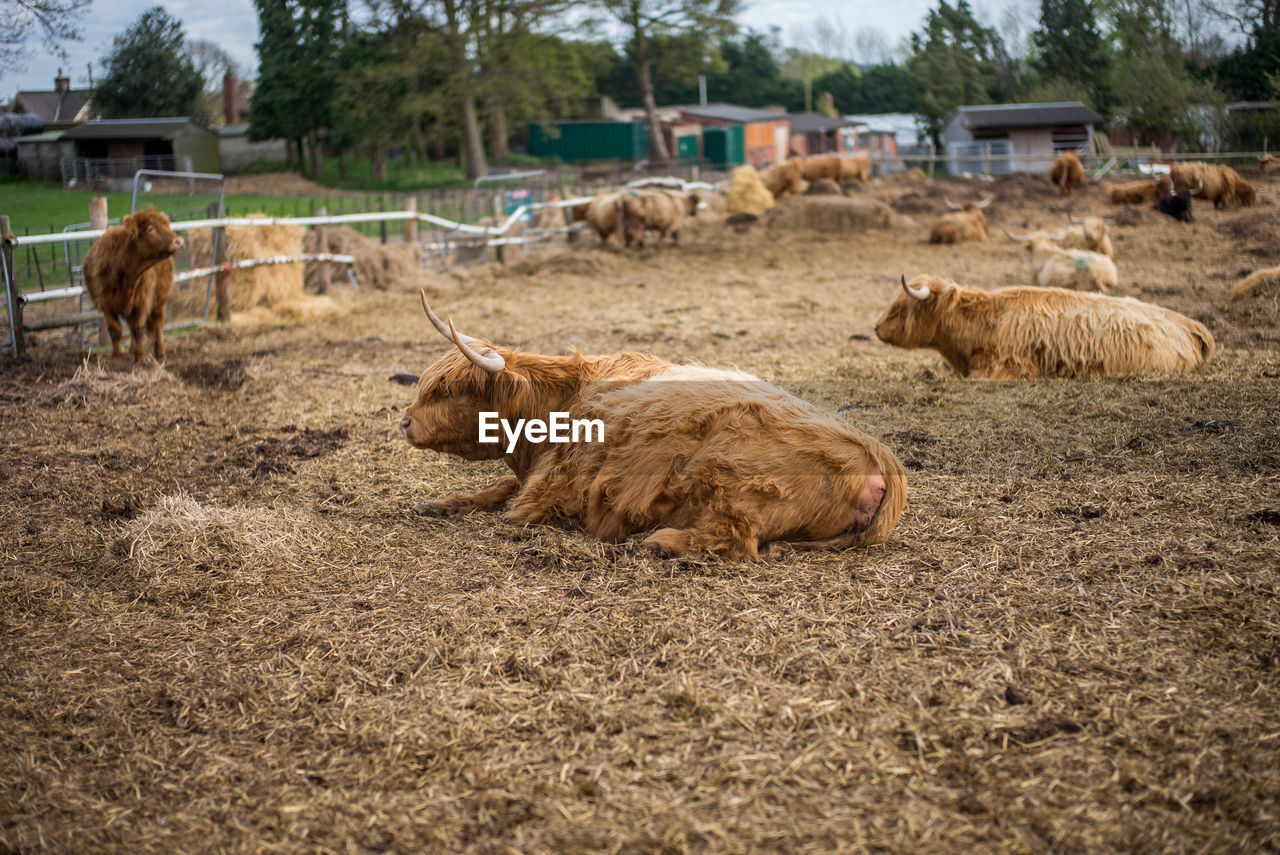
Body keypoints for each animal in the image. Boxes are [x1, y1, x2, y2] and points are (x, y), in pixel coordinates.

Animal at [81, 212, 184, 366]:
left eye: (167, 225)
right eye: (150, 228)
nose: (179, 241)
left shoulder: (142, 301)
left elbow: (138, 329)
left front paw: (141, 358)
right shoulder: (106, 304)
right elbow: (115, 330)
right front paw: (117, 358)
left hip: (160, 299)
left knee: (158, 324)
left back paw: (160, 353)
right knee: (131, 327)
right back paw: (130, 354)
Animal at [401, 294, 911, 560]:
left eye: (448, 390)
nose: (404, 421)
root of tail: (878, 456)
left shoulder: (550, 489)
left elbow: (513, 504)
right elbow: (496, 488)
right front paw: (439, 504)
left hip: (732, 477)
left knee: (733, 540)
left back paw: (659, 540)